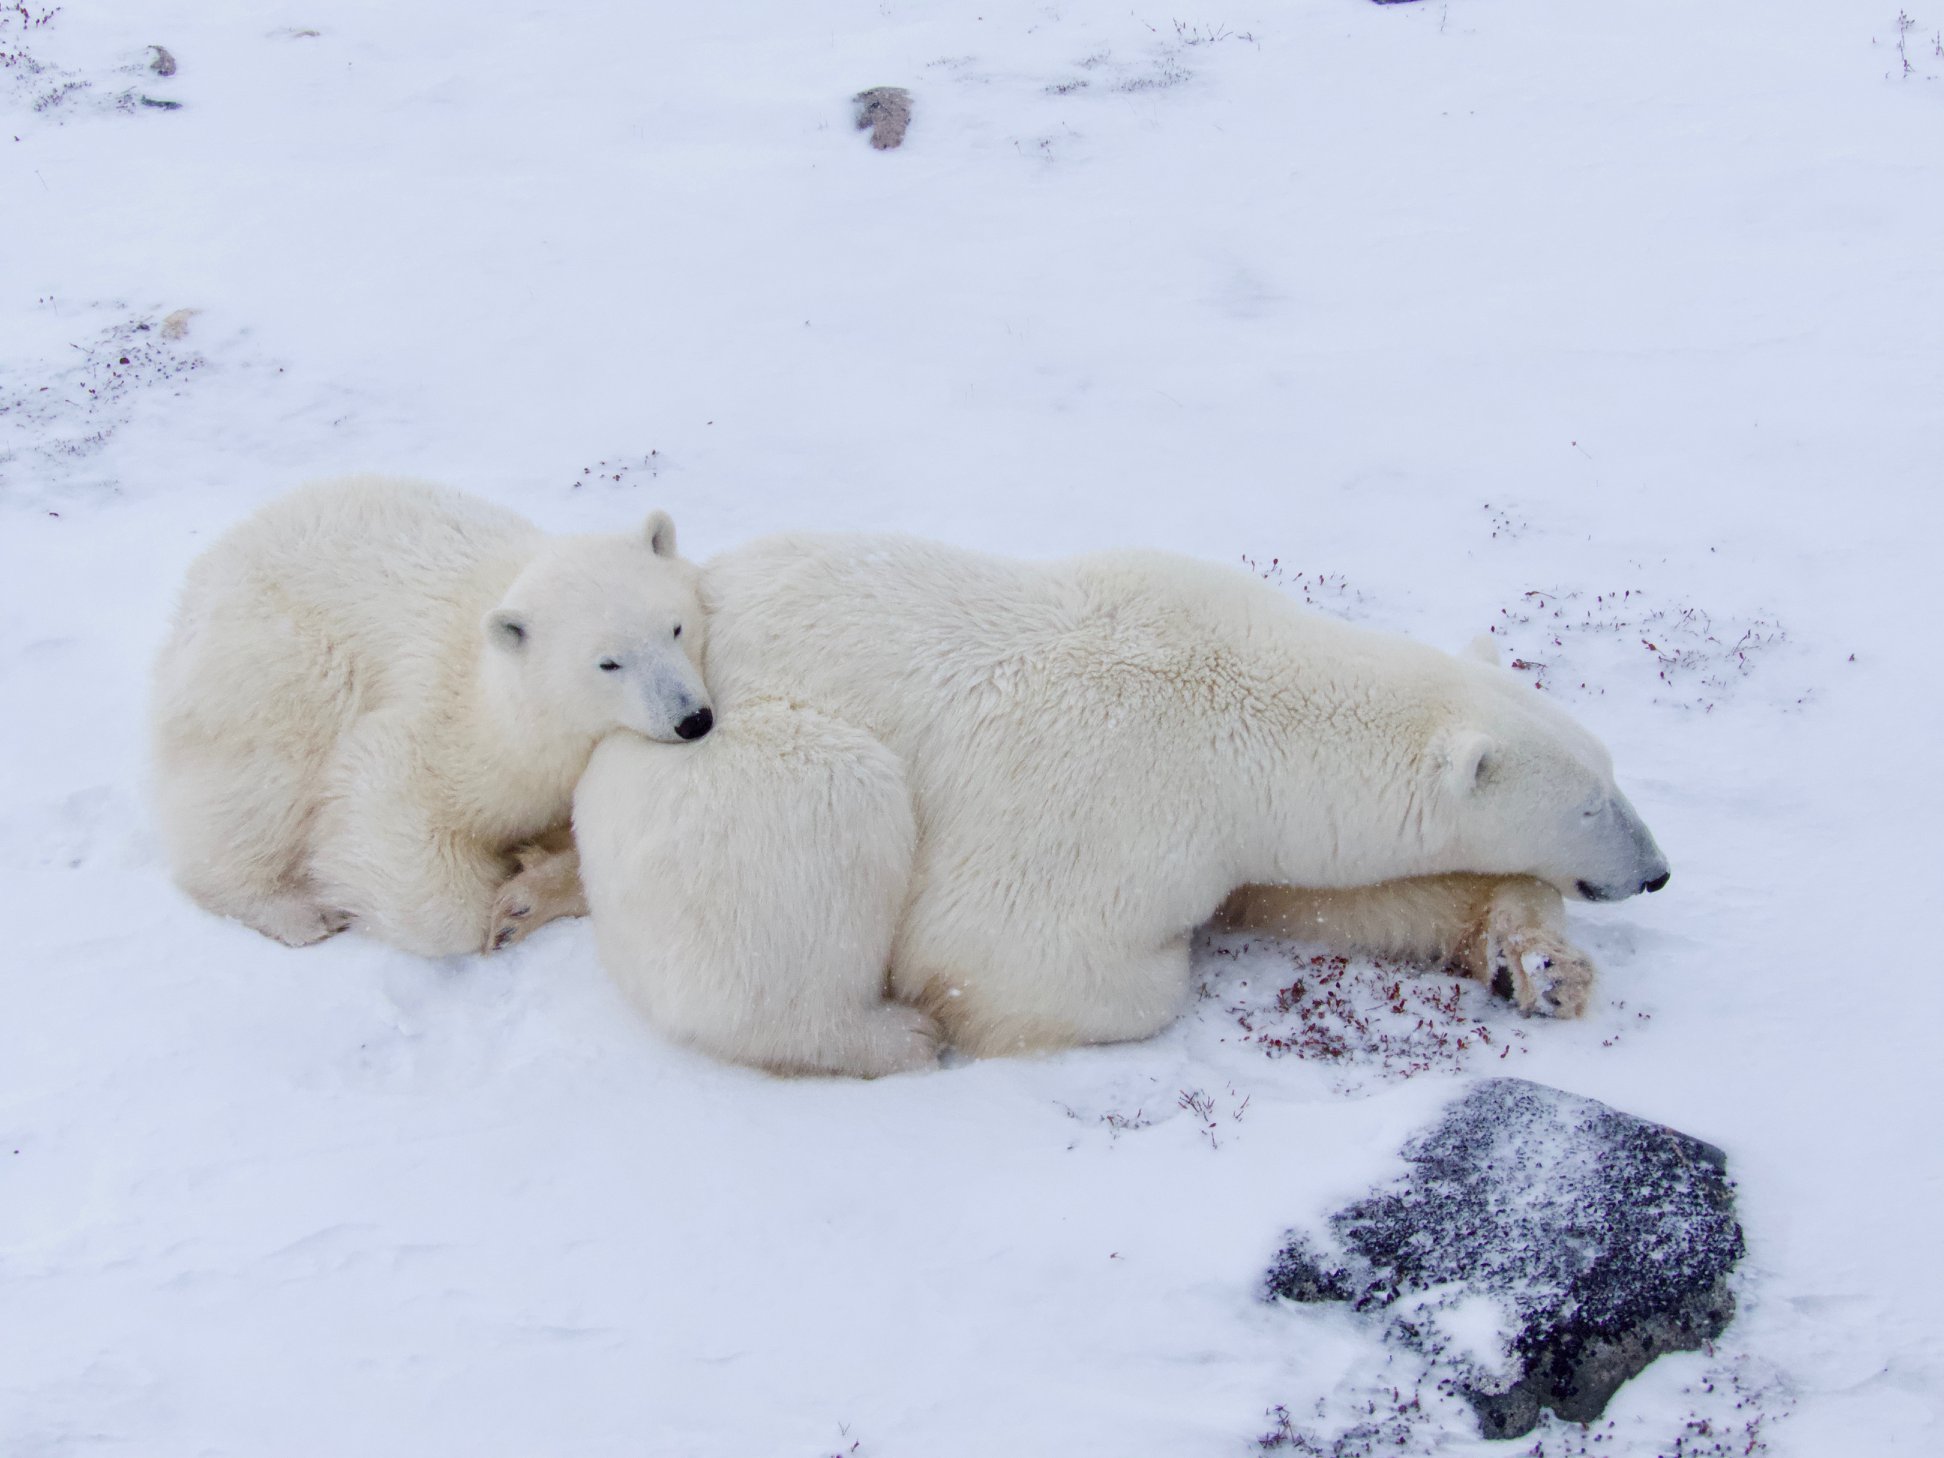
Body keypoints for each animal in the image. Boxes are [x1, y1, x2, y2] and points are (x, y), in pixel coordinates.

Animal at [563, 532, 1671, 1073]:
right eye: (1590, 803)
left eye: (1613, 775)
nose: (1657, 872)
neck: (1246, 706)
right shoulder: (1111, 796)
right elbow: (1009, 952)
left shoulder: (1244, 833)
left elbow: (1333, 896)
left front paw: (1538, 961)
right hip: (711, 763)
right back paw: (886, 1040)